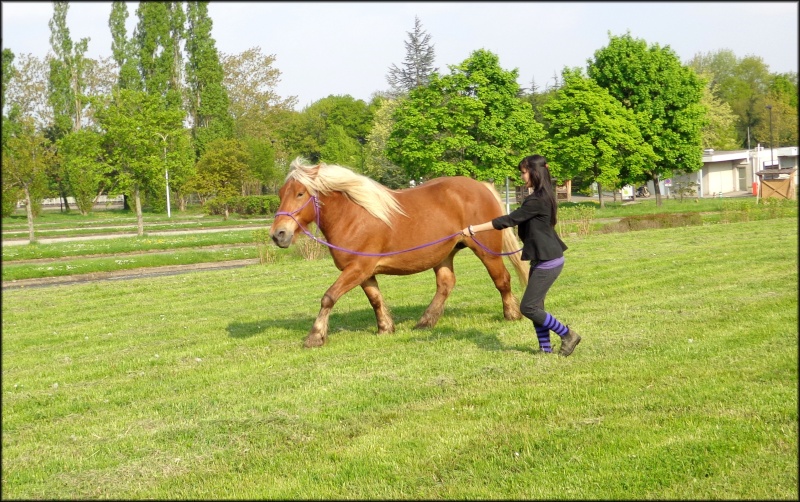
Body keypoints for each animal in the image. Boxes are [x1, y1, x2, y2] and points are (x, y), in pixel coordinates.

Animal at [270, 159, 532, 348]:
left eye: (300, 193)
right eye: (281, 194)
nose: (278, 234)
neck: (354, 215)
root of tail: (481, 186)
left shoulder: (357, 269)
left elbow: (329, 297)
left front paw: (315, 336)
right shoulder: (364, 273)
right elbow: (375, 299)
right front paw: (386, 327)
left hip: (487, 251)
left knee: (502, 279)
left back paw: (512, 314)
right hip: (443, 254)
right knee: (445, 284)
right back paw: (425, 322)